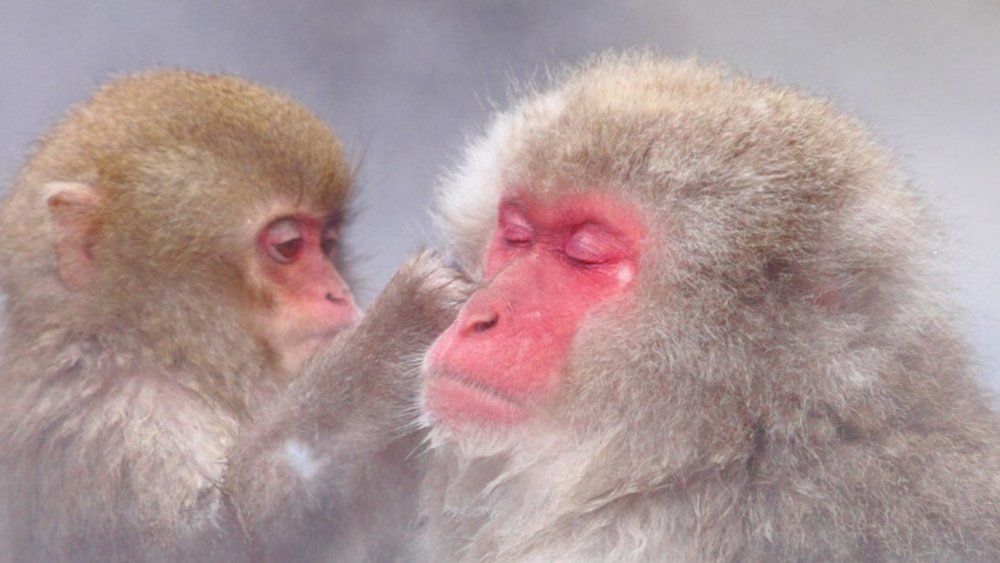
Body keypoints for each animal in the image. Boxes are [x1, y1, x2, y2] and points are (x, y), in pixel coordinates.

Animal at [0, 70, 468, 562]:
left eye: (328, 244)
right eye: (288, 245)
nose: (338, 294)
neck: (154, 353)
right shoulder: (108, 428)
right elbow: (224, 539)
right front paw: (396, 331)